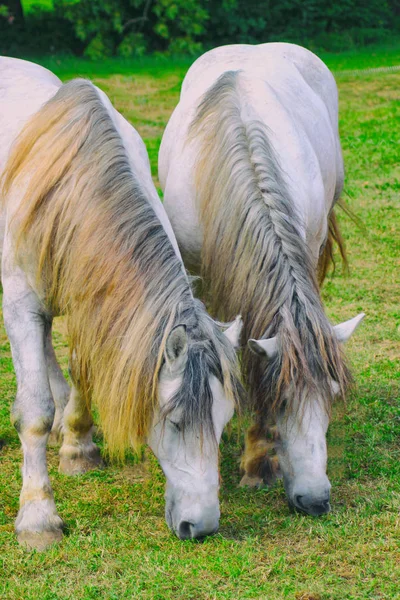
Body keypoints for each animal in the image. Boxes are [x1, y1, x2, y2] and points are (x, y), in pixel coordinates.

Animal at [0, 56, 244, 548]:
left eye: (224, 421)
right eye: (174, 421)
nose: (201, 526)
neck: (69, 183)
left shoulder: (92, 297)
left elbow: (83, 370)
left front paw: (77, 445)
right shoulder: (19, 306)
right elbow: (33, 411)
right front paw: (38, 517)